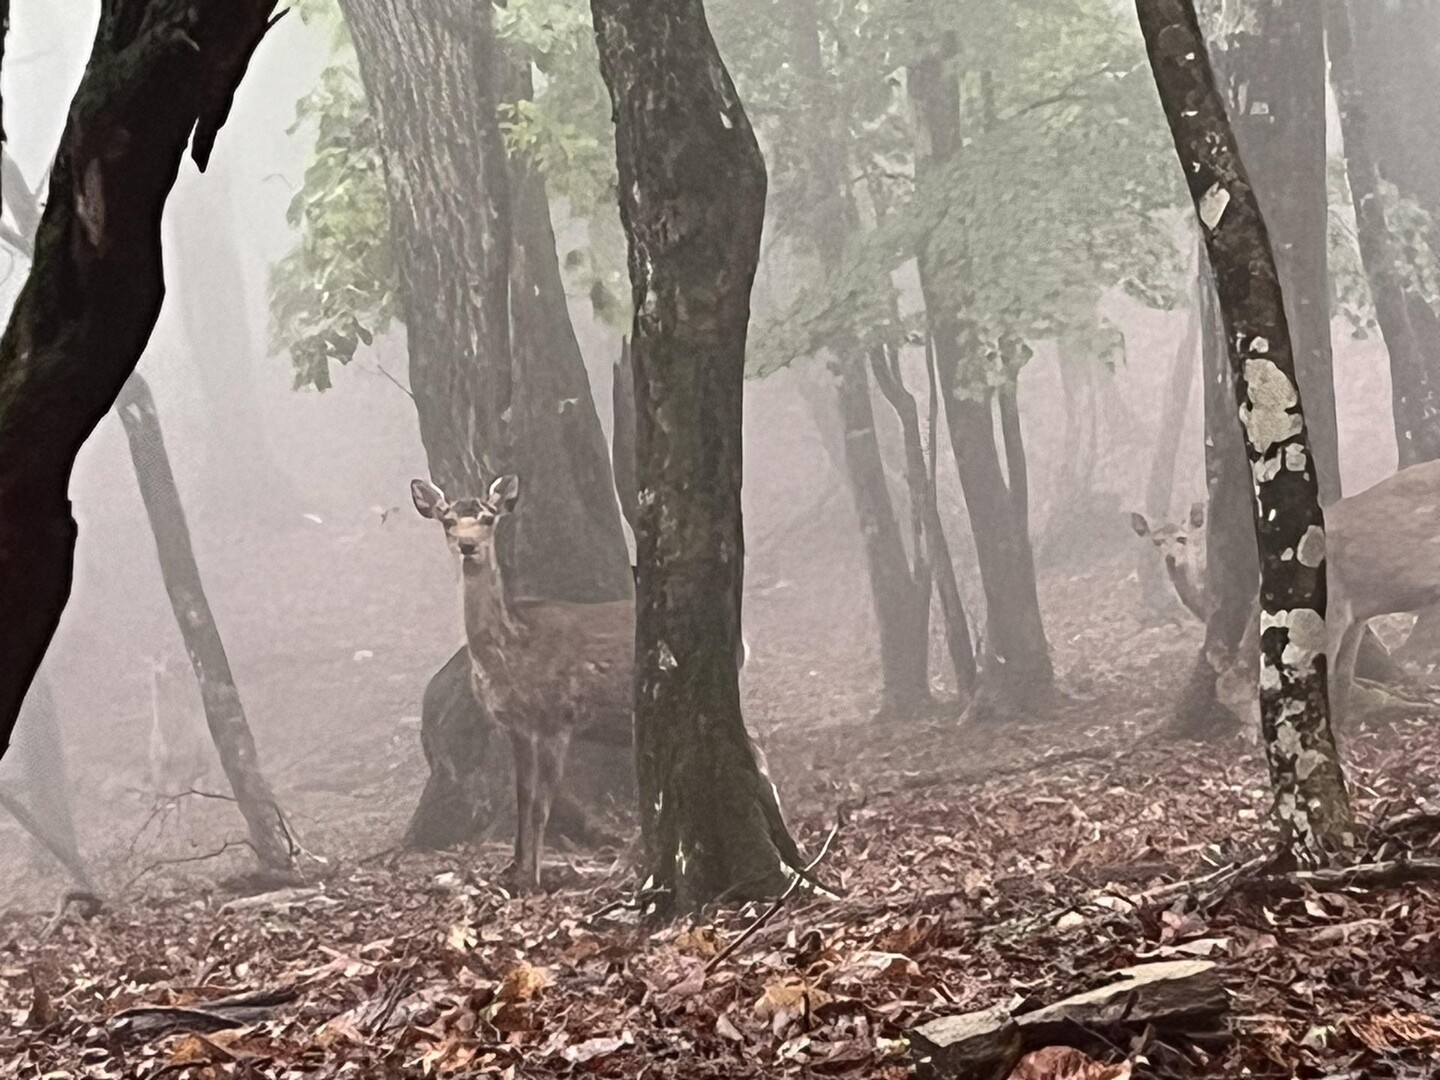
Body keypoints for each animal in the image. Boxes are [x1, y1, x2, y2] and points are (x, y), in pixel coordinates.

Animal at [1128, 460, 1440, 731]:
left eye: (1182, 539)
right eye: (1156, 542)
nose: (1170, 559)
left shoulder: (1335, 604)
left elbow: (1324, 678)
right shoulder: (1356, 612)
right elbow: (1342, 679)